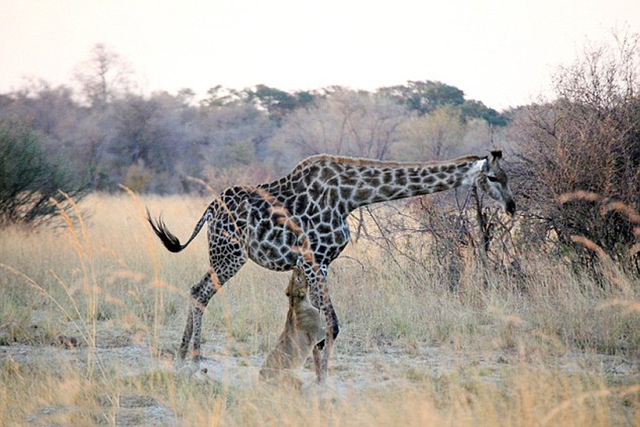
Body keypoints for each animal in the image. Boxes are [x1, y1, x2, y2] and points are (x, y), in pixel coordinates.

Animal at [146, 151, 516, 384]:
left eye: (507, 176)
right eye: (493, 177)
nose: (512, 206)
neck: (351, 196)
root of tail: (210, 208)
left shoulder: (319, 264)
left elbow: (323, 324)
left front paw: (315, 376)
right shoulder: (314, 259)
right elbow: (332, 326)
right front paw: (321, 383)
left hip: (224, 255)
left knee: (196, 291)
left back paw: (183, 360)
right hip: (229, 254)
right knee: (200, 293)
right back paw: (194, 363)